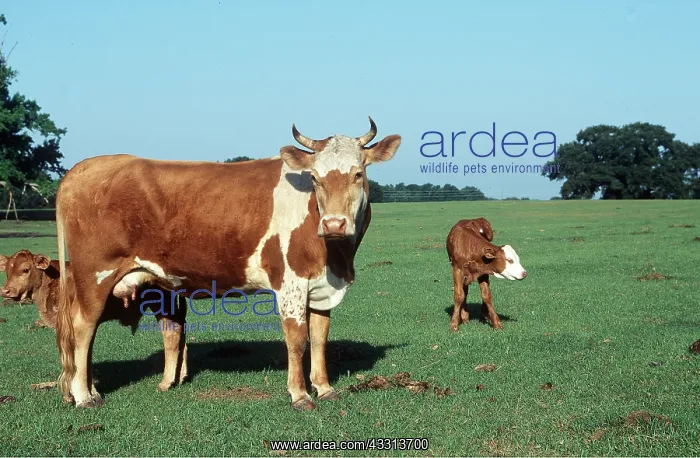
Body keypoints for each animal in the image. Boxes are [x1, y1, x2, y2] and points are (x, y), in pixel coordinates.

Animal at [0, 249, 189, 402]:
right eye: (7, 271)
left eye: (25, 269)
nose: (5, 291)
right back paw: (179, 377)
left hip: (162, 305)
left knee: (171, 333)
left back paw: (165, 383)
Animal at [54, 117, 401, 410]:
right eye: (314, 178)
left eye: (358, 173)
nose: (333, 224)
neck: (336, 259)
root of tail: (84, 167)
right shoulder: (290, 281)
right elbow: (297, 339)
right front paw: (300, 395)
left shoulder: (321, 285)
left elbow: (319, 336)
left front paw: (325, 388)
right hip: (94, 274)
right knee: (83, 327)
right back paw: (84, 397)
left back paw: (93, 390)